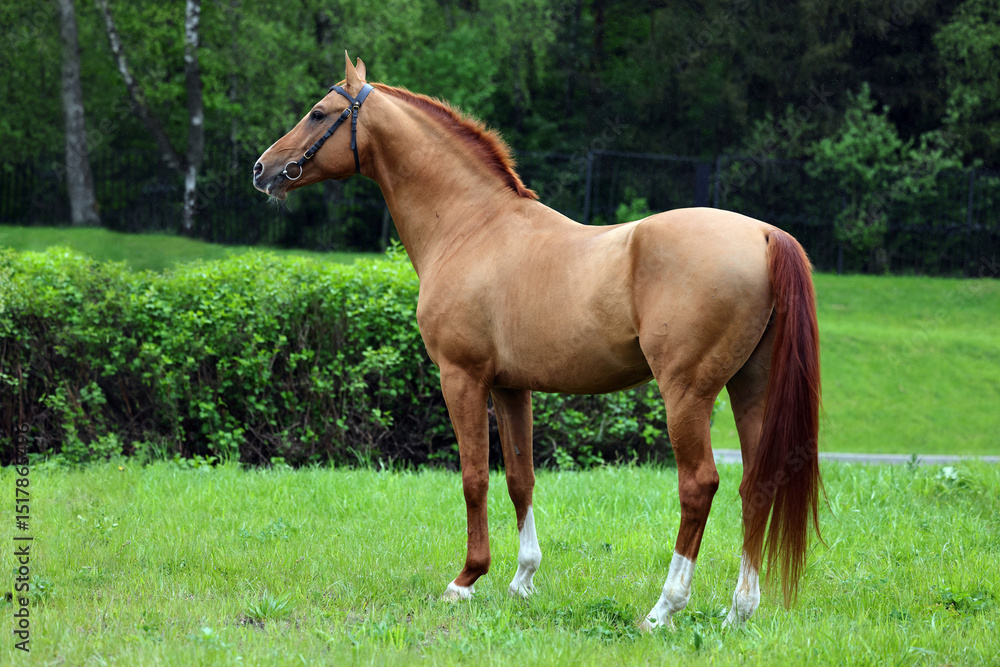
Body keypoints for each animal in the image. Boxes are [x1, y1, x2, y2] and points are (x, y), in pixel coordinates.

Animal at [252, 53, 822, 630]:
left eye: (318, 113)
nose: (262, 169)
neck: (472, 228)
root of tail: (764, 234)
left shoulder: (461, 377)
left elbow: (475, 477)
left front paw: (466, 580)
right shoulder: (511, 387)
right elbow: (520, 478)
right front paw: (522, 579)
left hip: (687, 393)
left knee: (699, 485)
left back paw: (665, 608)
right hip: (750, 388)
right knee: (756, 486)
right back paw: (739, 610)